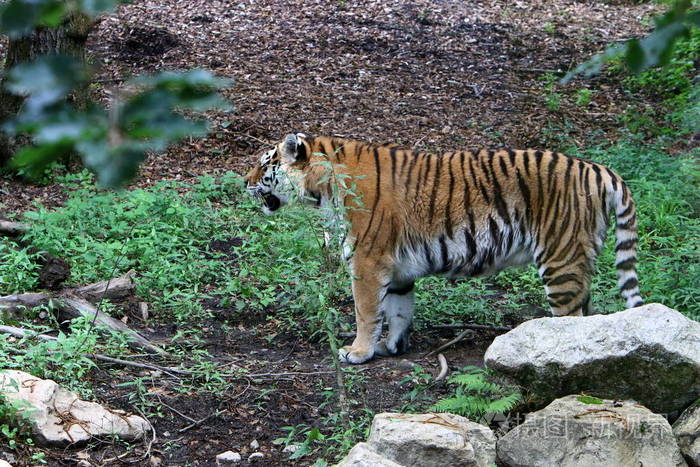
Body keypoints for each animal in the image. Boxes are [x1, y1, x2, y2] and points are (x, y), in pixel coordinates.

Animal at [244, 133, 643, 364]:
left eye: (265, 165)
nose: (243, 181)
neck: (324, 187)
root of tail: (600, 169)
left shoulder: (367, 261)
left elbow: (366, 311)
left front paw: (358, 351)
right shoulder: (397, 269)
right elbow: (399, 310)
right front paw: (392, 346)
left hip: (561, 259)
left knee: (572, 322)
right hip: (577, 260)